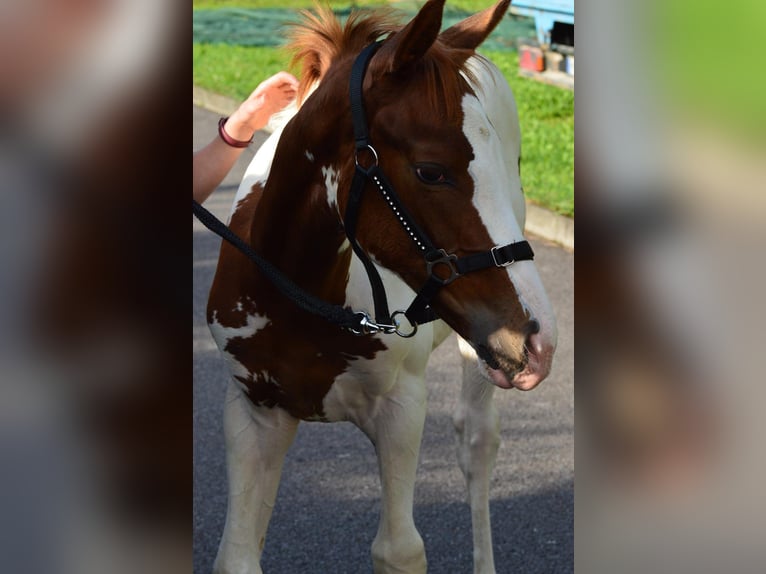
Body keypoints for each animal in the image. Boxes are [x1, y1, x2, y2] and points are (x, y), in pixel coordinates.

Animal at [206, 2, 560, 572]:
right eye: (431, 171)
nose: (537, 337)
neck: (309, 303)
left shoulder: (402, 409)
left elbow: (399, 549)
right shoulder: (254, 410)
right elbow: (238, 553)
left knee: (477, 442)